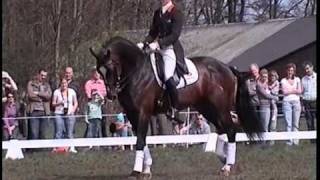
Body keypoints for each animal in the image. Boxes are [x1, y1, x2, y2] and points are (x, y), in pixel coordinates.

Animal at [89, 36, 262, 179]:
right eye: (99, 71)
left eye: (111, 67)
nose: (111, 95)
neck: (137, 72)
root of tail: (227, 68)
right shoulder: (131, 114)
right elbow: (142, 140)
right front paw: (147, 169)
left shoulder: (143, 112)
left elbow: (140, 140)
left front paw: (137, 171)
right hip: (206, 108)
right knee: (222, 129)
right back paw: (224, 159)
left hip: (221, 107)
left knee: (230, 130)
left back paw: (227, 166)